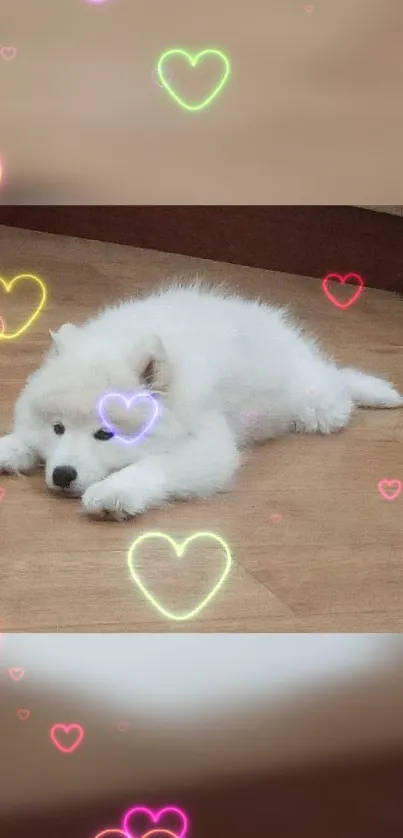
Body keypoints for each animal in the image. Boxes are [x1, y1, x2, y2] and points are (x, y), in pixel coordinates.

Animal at [0, 284, 403, 520]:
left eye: (105, 434)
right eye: (57, 428)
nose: (62, 475)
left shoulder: (210, 445)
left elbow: (156, 464)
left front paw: (115, 491)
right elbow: (26, 438)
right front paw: (11, 447)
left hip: (315, 405)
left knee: (338, 386)